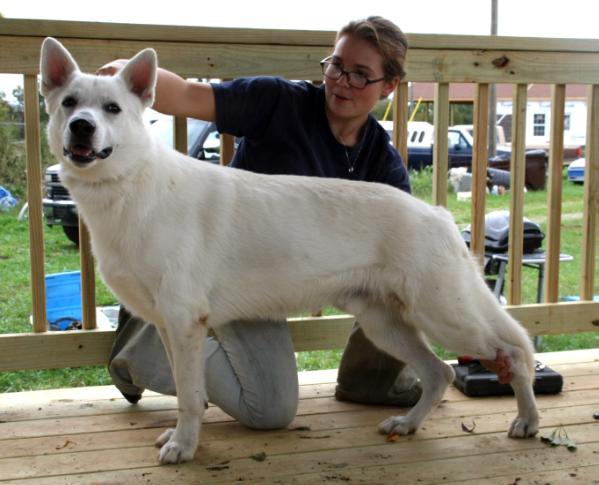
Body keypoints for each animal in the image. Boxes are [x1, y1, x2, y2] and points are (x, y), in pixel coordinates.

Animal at [39, 36, 540, 462]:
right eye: (69, 104)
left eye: (112, 108)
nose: (81, 128)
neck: (131, 187)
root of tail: (435, 213)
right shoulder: (168, 325)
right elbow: (188, 391)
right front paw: (183, 438)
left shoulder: (184, 324)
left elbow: (189, 397)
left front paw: (184, 447)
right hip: (387, 325)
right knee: (441, 373)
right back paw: (408, 424)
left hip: (445, 316)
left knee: (513, 353)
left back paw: (527, 422)